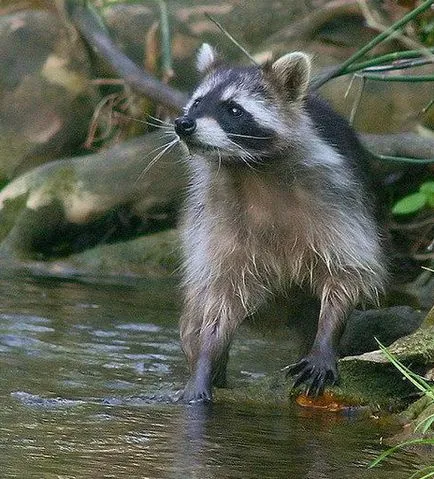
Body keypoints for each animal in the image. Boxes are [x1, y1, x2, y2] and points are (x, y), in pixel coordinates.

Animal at [174, 46, 386, 404]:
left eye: (234, 109)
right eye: (198, 102)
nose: (183, 123)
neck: (250, 170)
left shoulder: (337, 201)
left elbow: (347, 274)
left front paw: (326, 340)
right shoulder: (215, 219)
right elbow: (217, 300)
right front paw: (205, 359)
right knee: (194, 312)